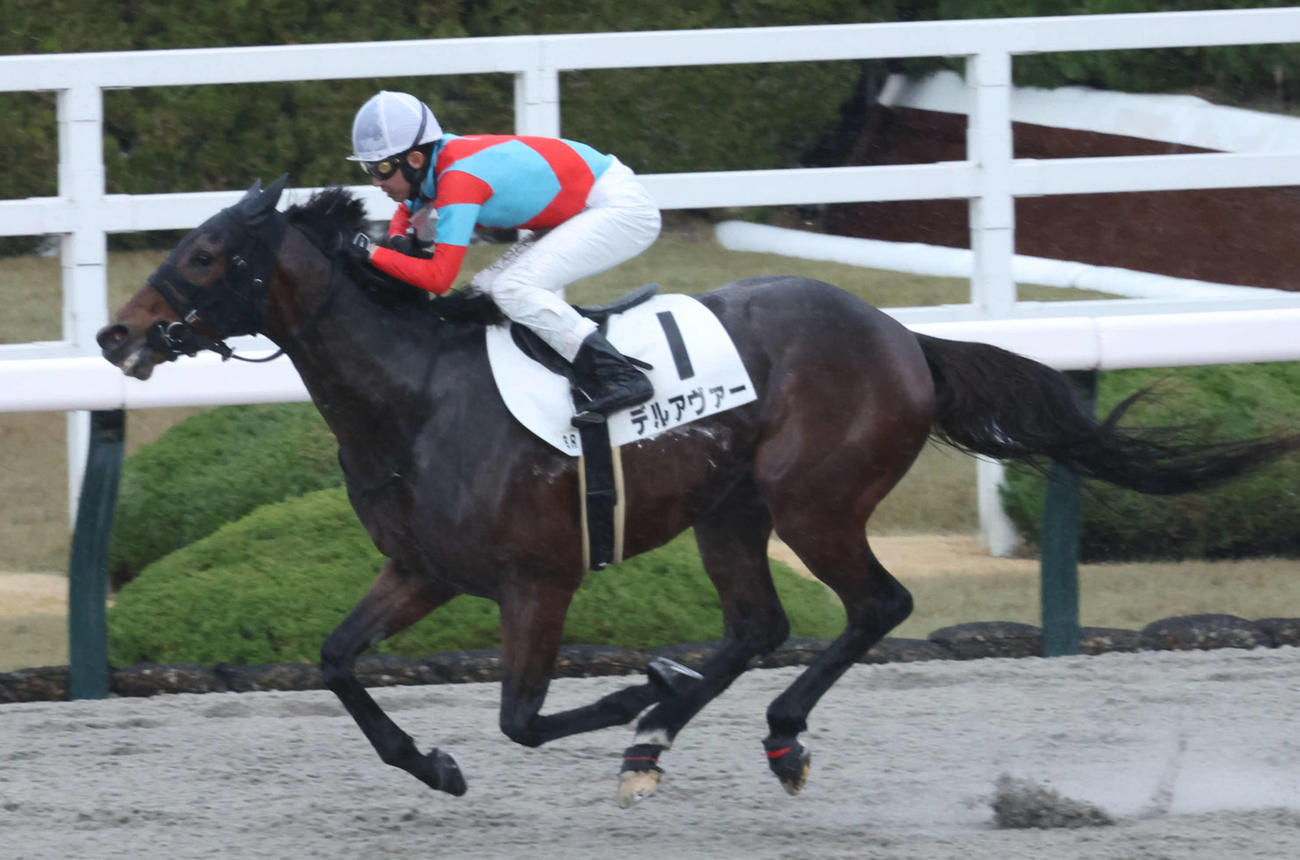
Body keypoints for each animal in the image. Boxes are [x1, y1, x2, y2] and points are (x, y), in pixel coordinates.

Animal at [97, 177, 1300, 807]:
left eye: (203, 256)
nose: (114, 336)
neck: (417, 395)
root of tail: (899, 334)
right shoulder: (424, 569)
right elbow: (338, 660)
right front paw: (432, 763)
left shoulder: (539, 577)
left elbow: (522, 718)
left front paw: (629, 690)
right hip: (732, 509)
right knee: (759, 622)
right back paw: (663, 733)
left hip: (814, 498)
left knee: (874, 605)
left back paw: (755, 730)